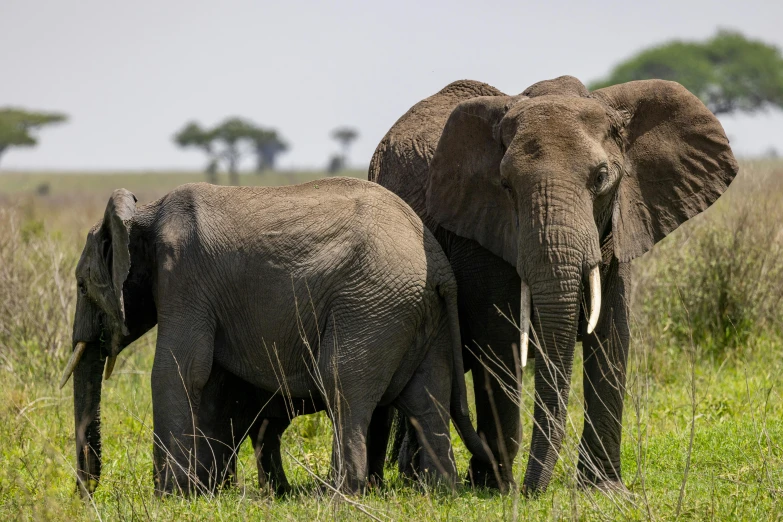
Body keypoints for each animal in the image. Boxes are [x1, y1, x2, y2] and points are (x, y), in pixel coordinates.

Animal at [62, 177, 490, 494]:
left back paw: (337, 495)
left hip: (372, 302)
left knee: (340, 382)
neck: (143, 216)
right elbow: (210, 381)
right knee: (426, 399)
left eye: (81, 286)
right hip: (420, 312)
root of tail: (441, 269)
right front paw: (203, 492)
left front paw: (170, 497)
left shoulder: (183, 279)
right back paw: (439, 492)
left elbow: (177, 370)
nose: (87, 493)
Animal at [370, 76, 740, 492]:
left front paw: (604, 490)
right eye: (505, 185)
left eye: (601, 178)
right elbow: (499, 339)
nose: (534, 492)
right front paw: (494, 486)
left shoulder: (620, 223)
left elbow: (612, 333)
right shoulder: (477, 233)